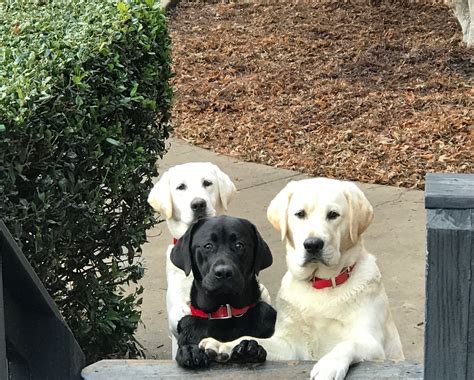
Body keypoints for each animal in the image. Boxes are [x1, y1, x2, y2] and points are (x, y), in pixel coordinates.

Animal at [171, 217, 276, 368]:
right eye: (208, 246)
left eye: (239, 245)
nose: (224, 272)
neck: (224, 312)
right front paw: (191, 351)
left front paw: (249, 350)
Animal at [200, 179, 404, 380]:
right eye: (300, 214)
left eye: (333, 214)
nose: (313, 244)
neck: (319, 285)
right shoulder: (288, 345)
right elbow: (250, 339)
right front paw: (222, 345)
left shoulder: (372, 343)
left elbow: (347, 344)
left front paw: (329, 365)